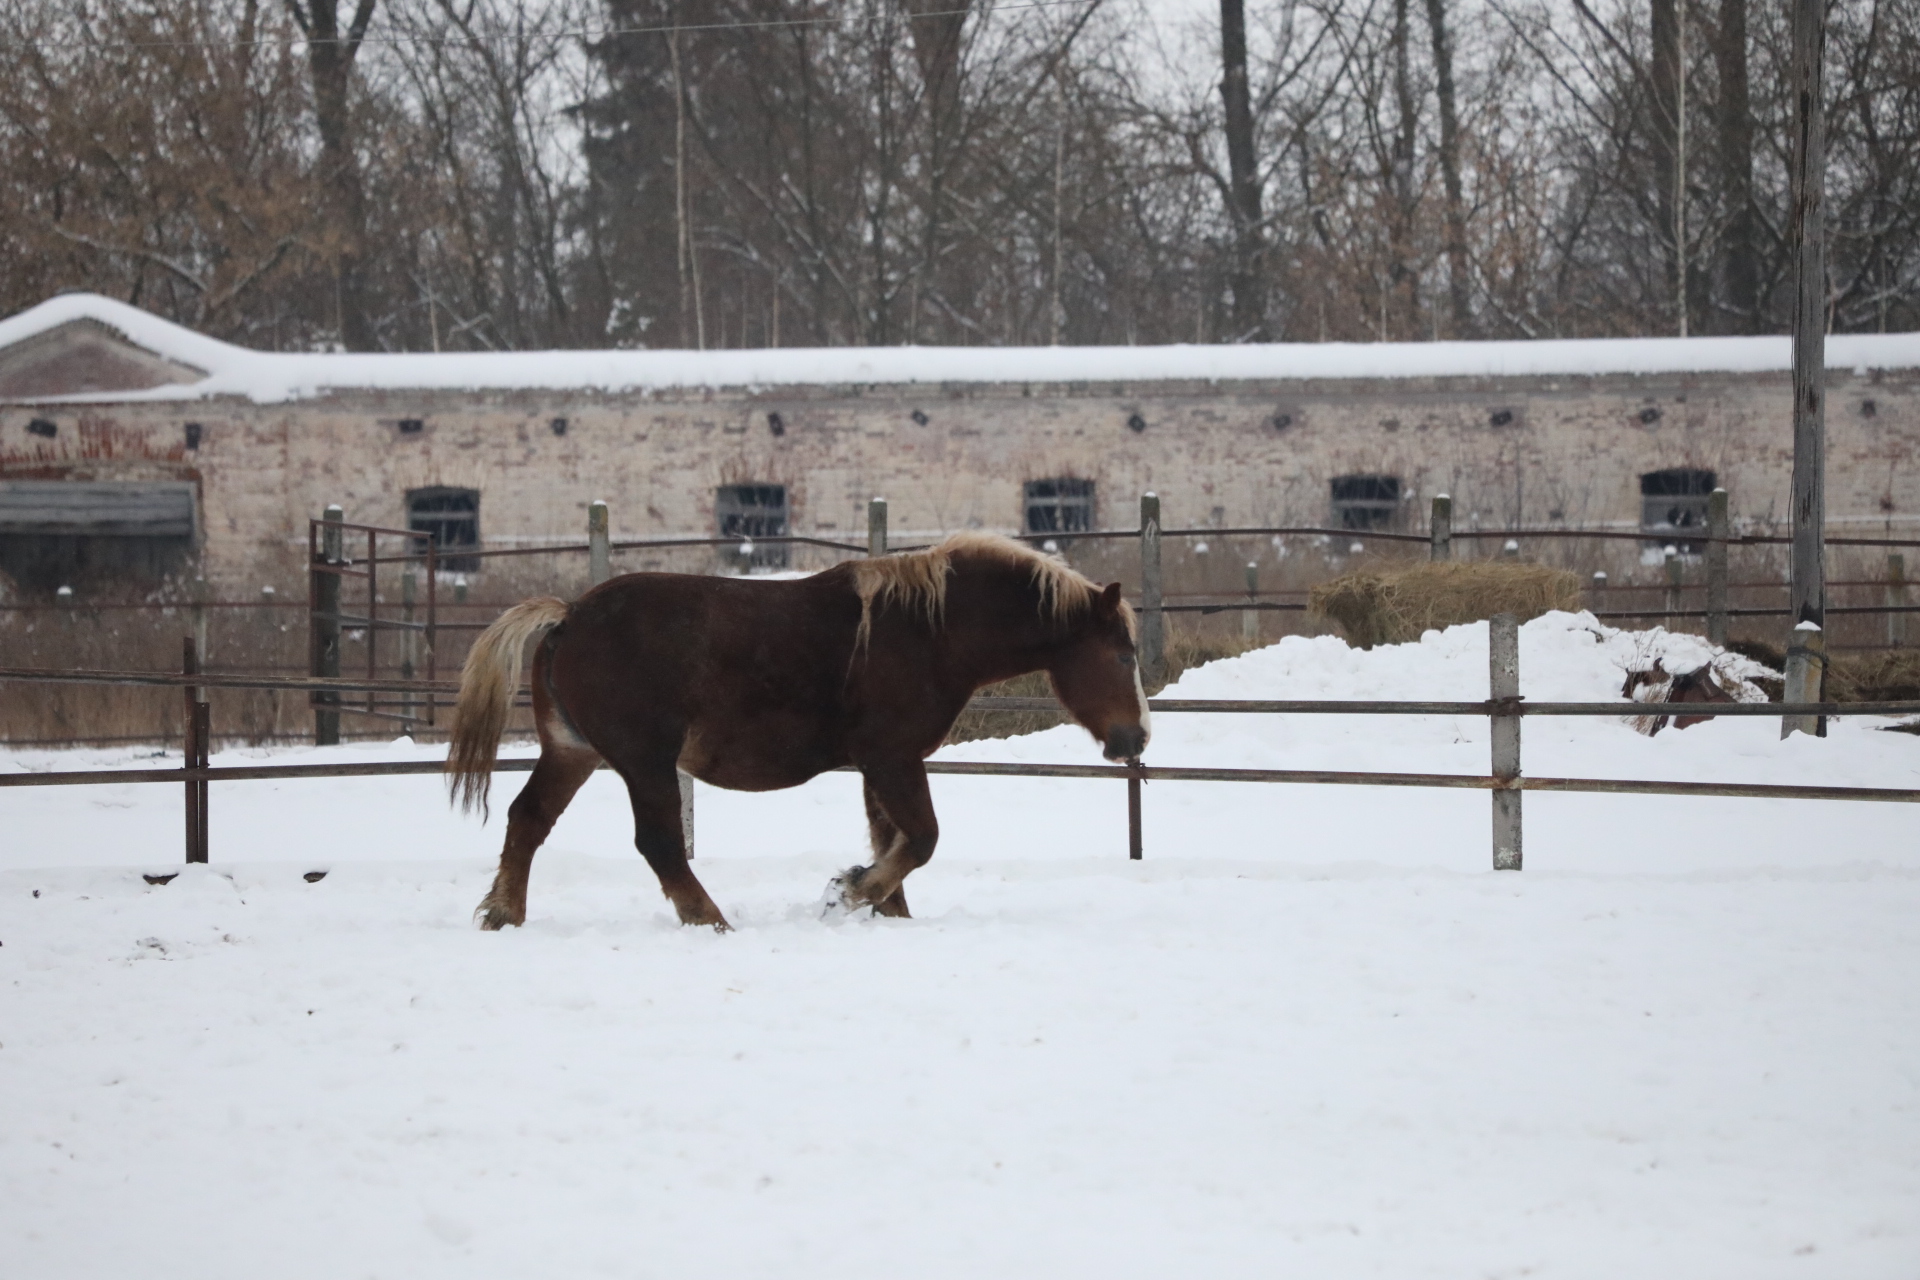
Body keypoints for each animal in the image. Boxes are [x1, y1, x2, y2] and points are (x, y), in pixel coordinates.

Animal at [441, 529, 1144, 932]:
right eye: (1122, 655)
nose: (1135, 740)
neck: (929, 633)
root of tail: (567, 616)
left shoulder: (879, 765)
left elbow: (892, 840)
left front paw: (885, 912)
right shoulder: (892, 758)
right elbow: (919, 840)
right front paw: (849, 892)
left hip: (573, 752)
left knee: (527, 819)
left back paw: (502, 915)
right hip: (644, 761)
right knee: (658, 844)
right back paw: (711, 922)